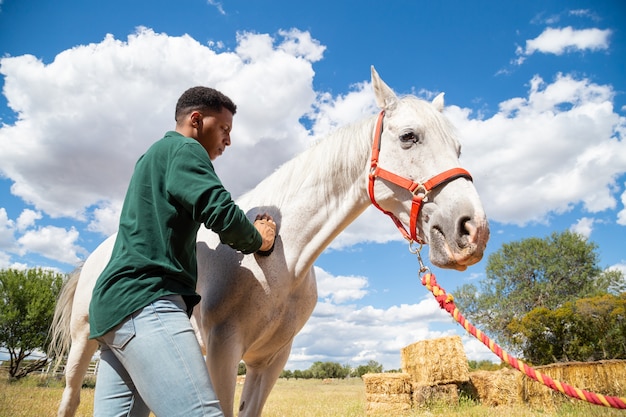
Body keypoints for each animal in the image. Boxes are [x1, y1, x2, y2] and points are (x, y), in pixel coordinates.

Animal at [50, 66, 488, 414]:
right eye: (409, 136)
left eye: (458, 147)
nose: (473, 230)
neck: (281, 260)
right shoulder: (224, 350)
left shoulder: (272, 358)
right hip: (82, 346)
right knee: (70, 398)